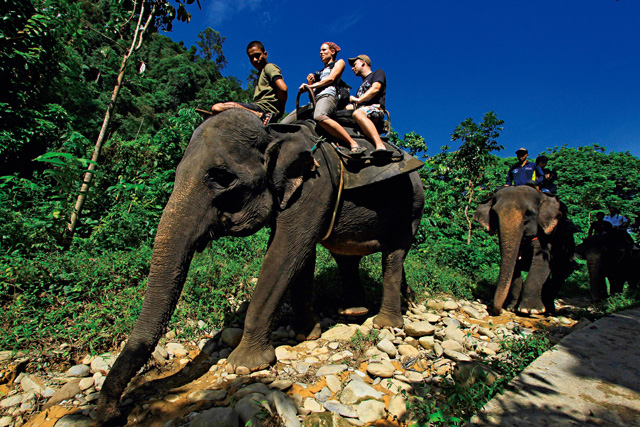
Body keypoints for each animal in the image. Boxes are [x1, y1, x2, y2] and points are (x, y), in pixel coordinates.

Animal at [95, 110, 424, 424]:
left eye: (222, 178)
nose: (114, 414)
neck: (274, 133)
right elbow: (301, 255)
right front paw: (305, 334)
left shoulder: (315, 187)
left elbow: (285, 252)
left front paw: (244, 365)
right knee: (347, 256)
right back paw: (353, 312)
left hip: (412, 206)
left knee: (393, 254)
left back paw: (385, 324)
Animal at [472, 186, 576, 314]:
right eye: (494, 214)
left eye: (529, 213)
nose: (499, 311)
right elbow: (514, 267)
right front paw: (511, 308)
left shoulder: (548, 237)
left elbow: (541, 263)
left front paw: (530, 310)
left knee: (561, 273)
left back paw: (549, 311)